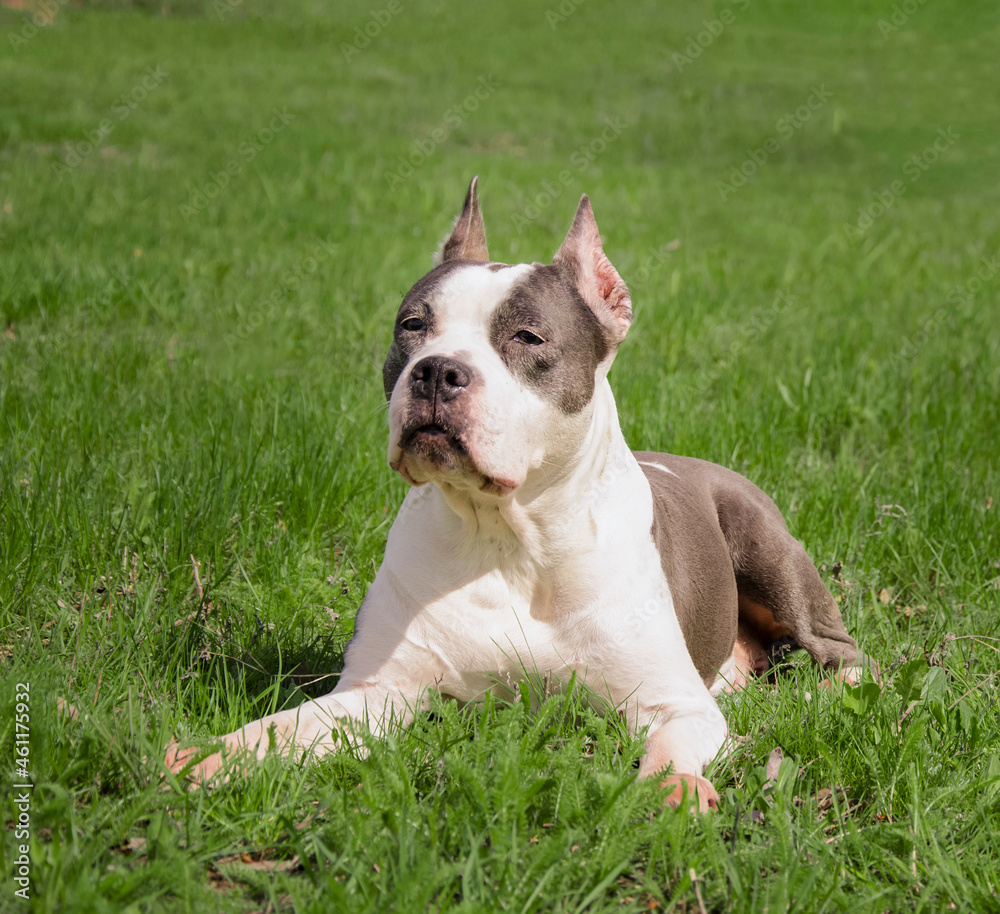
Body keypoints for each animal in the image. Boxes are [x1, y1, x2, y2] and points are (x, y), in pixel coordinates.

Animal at [168, 182, 864, 808]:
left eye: (527, 338)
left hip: (767, 548)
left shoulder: (674, 703)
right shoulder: (380, 693)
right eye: (412, 326)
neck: (508, 535)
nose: (437, 370)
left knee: (841, 650)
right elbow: (282, 729)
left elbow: (669, 750)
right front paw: (210, 757)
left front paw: (672, 791)